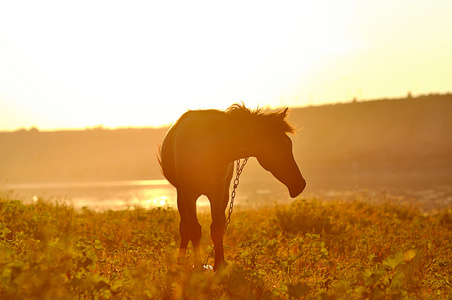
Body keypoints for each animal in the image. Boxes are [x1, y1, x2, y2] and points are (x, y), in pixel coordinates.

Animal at [160, 102, 308, 270]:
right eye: (275, 149)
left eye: (289, 144)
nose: (300, 184)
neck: (206, 149)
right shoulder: (188, 192)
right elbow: (194, 229)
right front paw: (198, 267)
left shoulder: (218, 192)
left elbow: (217, 228)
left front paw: (219, 265)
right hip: (181, 194)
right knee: (184, 226)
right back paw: (180, 262)